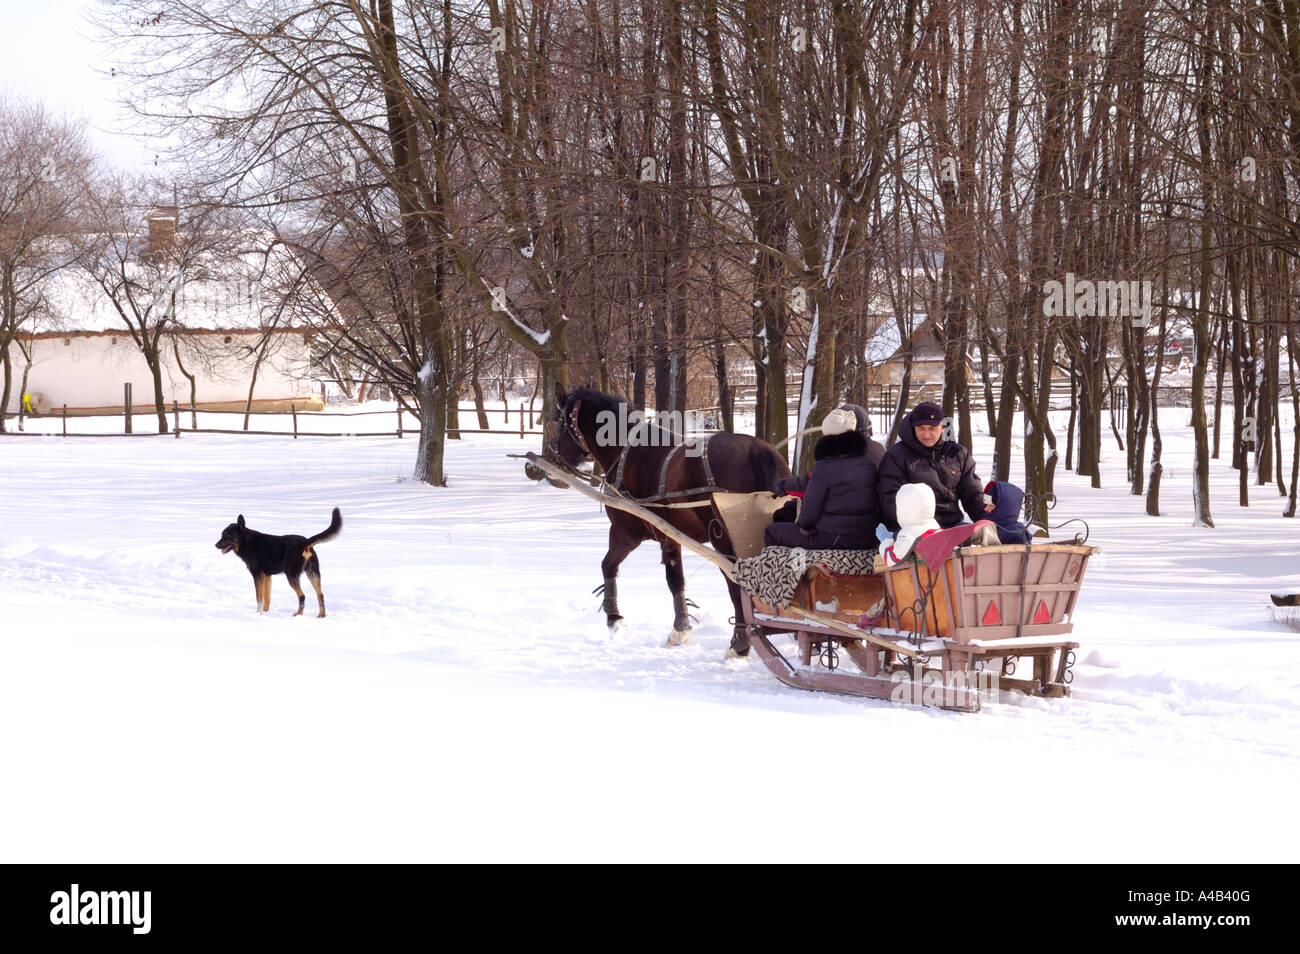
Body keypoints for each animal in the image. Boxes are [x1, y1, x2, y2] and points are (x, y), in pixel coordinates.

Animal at [215, 509, 343, 621]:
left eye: (228, 535)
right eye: (222, 534)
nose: (215, 545)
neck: (247, 542)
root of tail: (305, 543)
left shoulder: (257, 576)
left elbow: (259, 598)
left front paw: (258, 614)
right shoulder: (267, 576)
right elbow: (267, 598)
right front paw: (265, 612)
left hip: (291, 575)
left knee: (302, 595)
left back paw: (298, 614)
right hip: (313, 574)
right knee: (320, 595)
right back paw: (321, 615)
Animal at [543, 384, 785, 655]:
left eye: (559, 421)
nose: (554, 456)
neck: (628, 452)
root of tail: (757, 450)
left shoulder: (627, 532)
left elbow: (618, 567)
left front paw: (616, 619)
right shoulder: (670, 535)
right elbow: (673, 579)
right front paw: (679, 625)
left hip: (722, 539)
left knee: (736, 584)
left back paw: (740, 642)